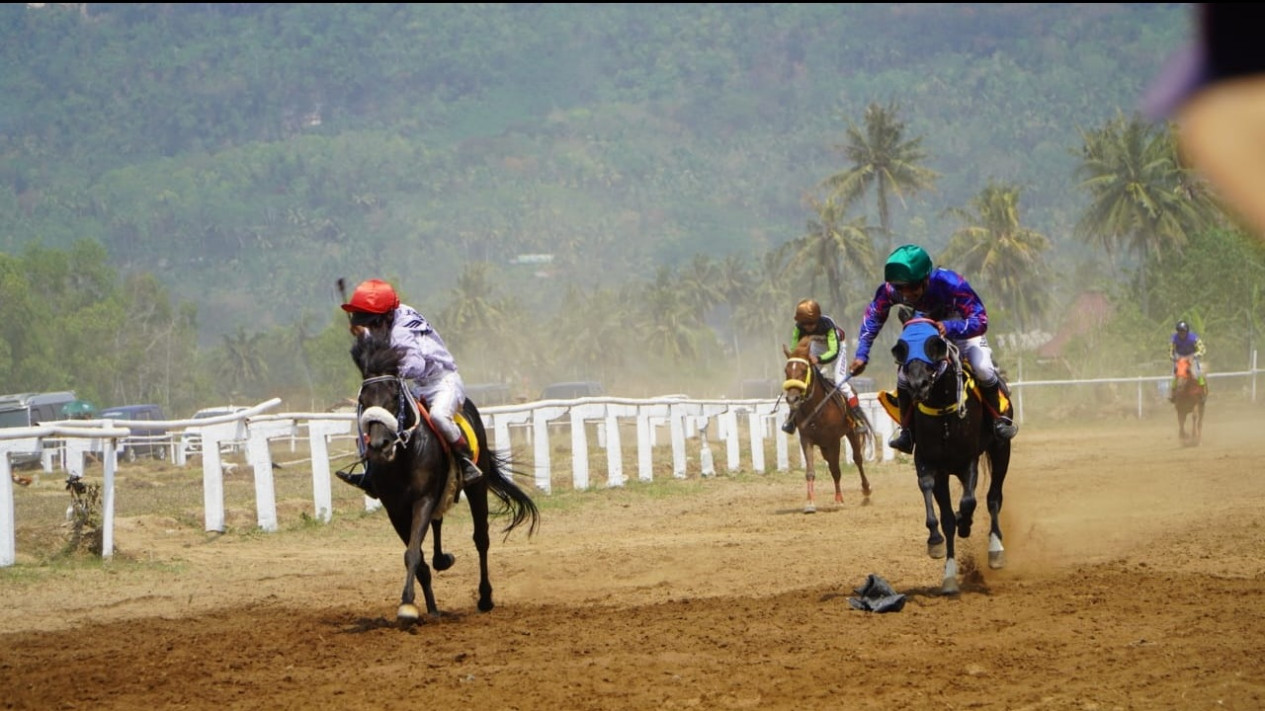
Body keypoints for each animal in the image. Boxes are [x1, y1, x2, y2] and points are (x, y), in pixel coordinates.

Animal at [351, 331, 538, 619]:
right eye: (363, 401)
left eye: (394, 396)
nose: (380, 445)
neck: (404, 457)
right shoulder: (396, 509)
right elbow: (416, 556)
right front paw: (428, 607)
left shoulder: (423, 498)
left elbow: (412, 552)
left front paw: (407, 604)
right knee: (438, 523)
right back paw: (441, 564)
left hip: (476, 486)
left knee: (481, 538)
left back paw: (485, 598)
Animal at [774, 333, 875, 511]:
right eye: (786, 370)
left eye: (803, 370)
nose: (792, 399)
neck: (816, 409)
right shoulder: (807, 439)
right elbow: (810, 471)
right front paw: (809, 503)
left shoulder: (833, 440)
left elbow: (836, 470)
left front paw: (839, 500)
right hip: (823, 446)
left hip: (850, 433)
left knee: (857, 458)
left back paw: (866, 489)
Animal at [890, 315, 1017, 592]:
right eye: (901, 348)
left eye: (934, 344)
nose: (917, 385)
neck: (944, 415)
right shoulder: (931, 463)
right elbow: (942, 511)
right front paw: (942, 558)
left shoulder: (968, 460)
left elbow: (969, 501)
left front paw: (966, 524)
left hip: (1001, 450)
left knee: (994, 497)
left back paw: (995, 549)